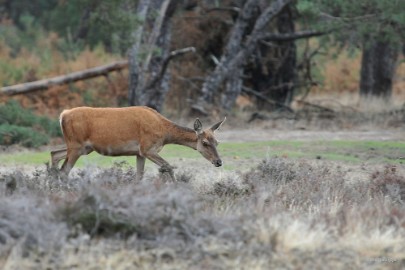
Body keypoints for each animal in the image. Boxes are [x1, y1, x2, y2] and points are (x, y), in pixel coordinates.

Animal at [49, 106, 226, 180]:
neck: (164, 133)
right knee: (64, 170)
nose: (219, 162)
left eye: (217, 142)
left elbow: (139, 175)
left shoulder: (139, 152)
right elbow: (168, 166)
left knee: (54, 154)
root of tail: (62, 115)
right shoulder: (147, 147)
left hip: (82, 147)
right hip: (76, 145)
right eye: (205, 142)